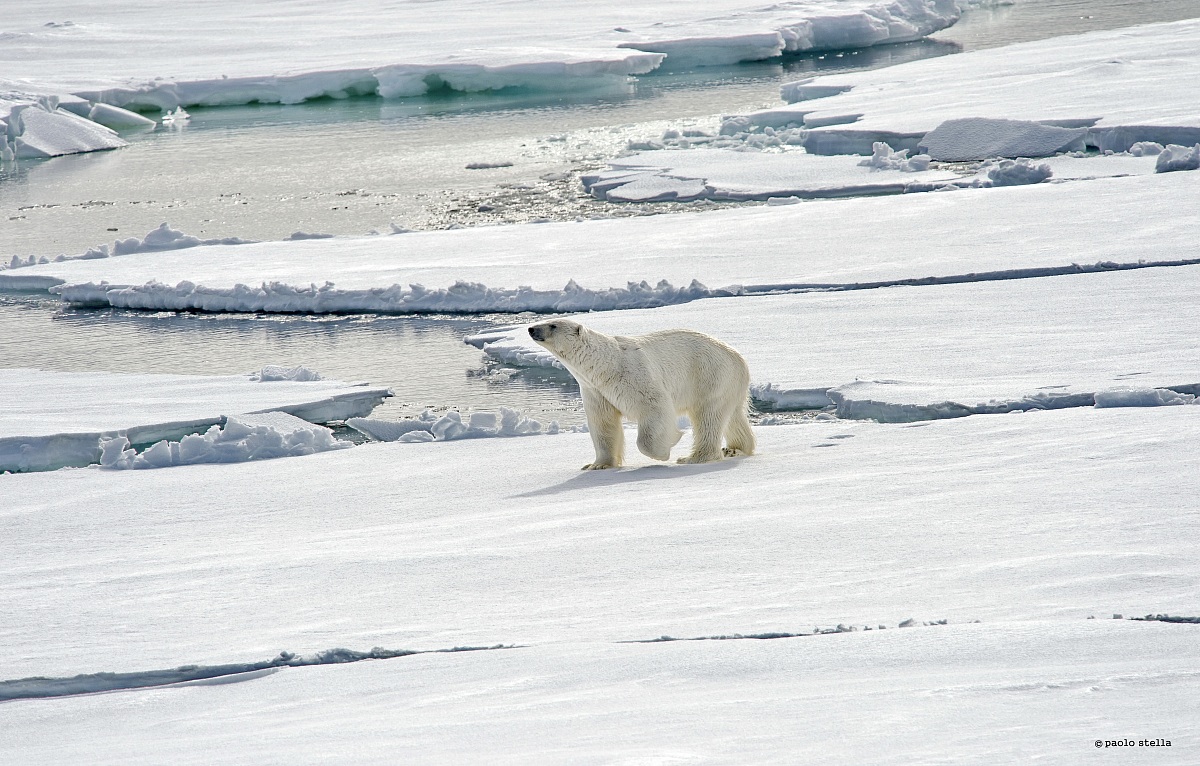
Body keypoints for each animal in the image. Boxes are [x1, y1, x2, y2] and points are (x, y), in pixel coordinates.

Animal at [527, 319, 755, 470]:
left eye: (553, 325)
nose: (530, 328)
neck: (605, 366)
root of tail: (739, 359)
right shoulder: (595, 390)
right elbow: (603, 424)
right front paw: (597, 465)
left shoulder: (633, 375)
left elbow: (655, 406)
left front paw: (666, 448)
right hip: (729, 384)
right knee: (732, 415)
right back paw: (734, 449)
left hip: (710, 375)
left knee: (708, 416)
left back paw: (693, 458)